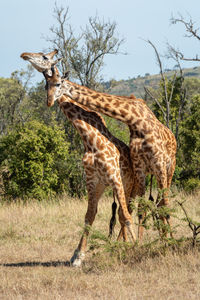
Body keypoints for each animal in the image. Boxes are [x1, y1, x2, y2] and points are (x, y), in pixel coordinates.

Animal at [20, 50, 177, 240]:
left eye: (43, 56)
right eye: (45, 86)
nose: (24, 55)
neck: (135, 120)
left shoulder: (157, 163)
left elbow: (159, 206)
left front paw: (164, 242)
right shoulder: (138, 167)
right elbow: (135, 210)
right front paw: (137, 243)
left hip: (167, 168)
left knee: (162, 203)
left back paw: (167, 239)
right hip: (144, 175)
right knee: (140, 207)